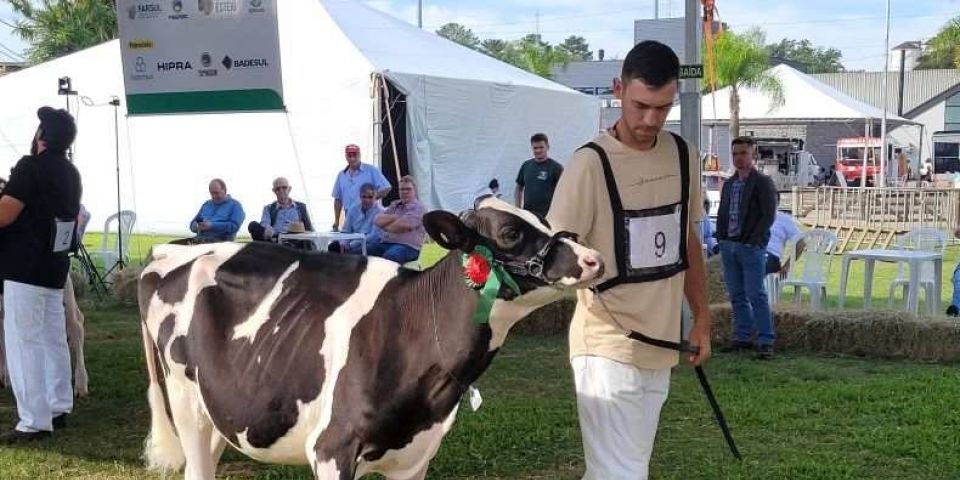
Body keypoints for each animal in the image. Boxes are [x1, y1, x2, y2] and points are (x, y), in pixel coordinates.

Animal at [139, 196, 604, 480]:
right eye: (510, 234)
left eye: (544, 220)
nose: (592, 258)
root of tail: (170, 251)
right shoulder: (331, 449)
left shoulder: (416, 456)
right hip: (185, 400)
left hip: (220, 410)